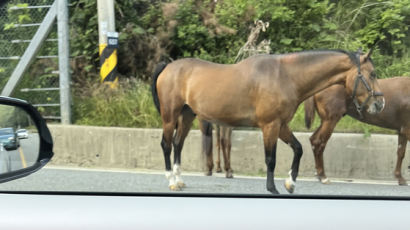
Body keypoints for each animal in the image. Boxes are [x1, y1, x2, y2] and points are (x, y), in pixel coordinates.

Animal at [151, 49, 384, 194]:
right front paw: (273, 188)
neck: (286, 76)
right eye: (372, 74)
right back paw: (171, 181)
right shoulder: (270, 126)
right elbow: (271, 159)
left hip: (187, 115)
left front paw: (290, 183)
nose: (380, 103)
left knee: (178, 144)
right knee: (166, 144)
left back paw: (179, 180)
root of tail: (167, 67)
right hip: (170, 115)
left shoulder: (281, 125)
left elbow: (298, 148)